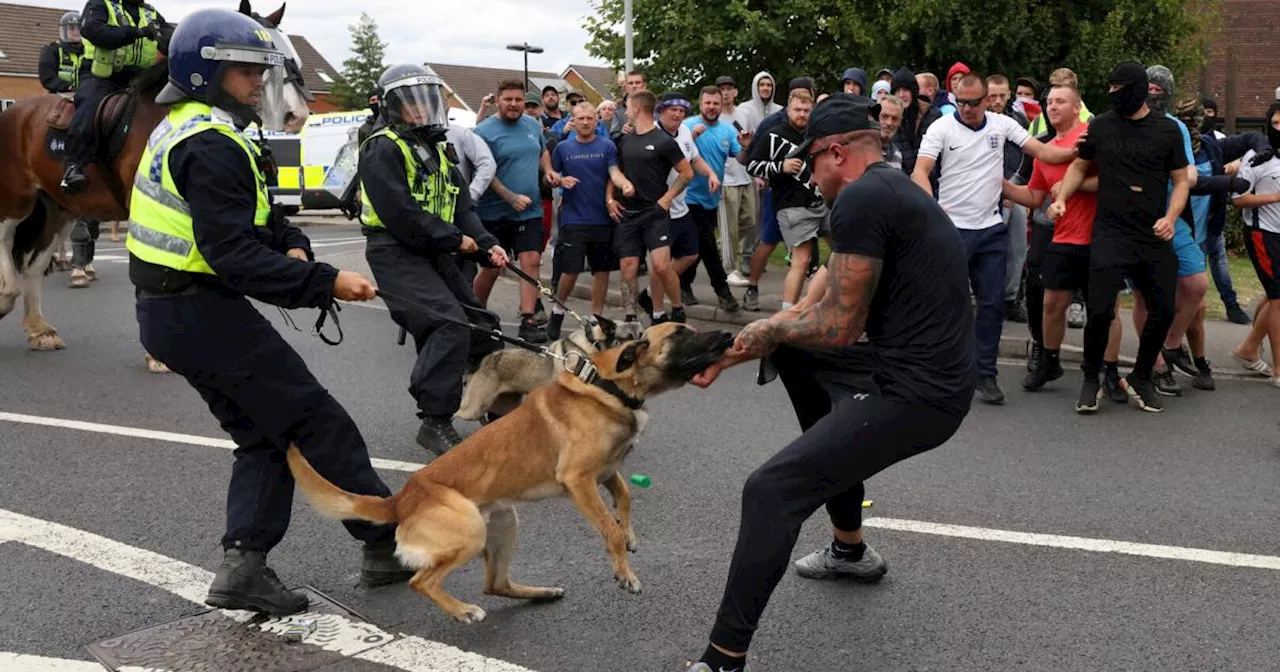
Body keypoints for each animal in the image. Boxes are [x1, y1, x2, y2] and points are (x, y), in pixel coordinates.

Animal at [0, 0, 312, 366]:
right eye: (262, 60)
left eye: (292, 56)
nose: (297, 116)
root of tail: (14, 113)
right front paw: (158, 355)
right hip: (16, 198)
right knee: (6, 241)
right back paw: (7, 295)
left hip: (58, 207)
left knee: (34, 265)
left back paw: (39, 329)